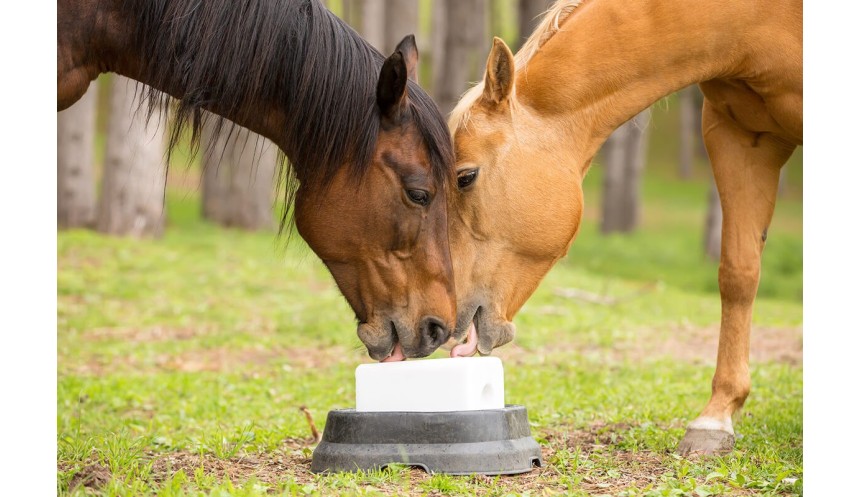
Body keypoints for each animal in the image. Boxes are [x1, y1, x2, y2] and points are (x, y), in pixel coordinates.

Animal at [446, 0, 802, 455]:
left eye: (465, 177)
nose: (446, 316)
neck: (752, 25)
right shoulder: (738, 136)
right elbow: (738, 275)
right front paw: (715, 418)